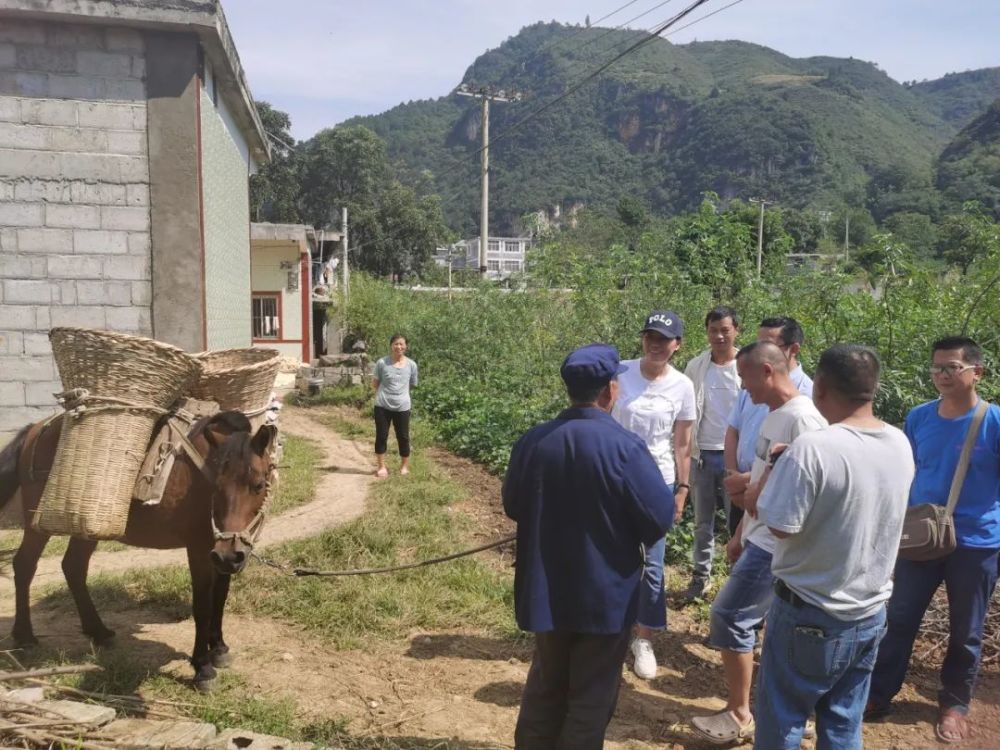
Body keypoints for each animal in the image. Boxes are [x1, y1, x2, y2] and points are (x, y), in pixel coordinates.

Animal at [0, 412, 274, 692]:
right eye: (216, 486)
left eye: (258, 484)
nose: (230, 554)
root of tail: (36, 429)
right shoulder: (199, 551)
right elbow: (202, 606)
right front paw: (202, 667)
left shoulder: (220, 553)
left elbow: (220, 598)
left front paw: (218, 648)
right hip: (39, 525)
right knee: (24, 566)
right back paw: (24, 636)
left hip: (87, 525)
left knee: (73, 567)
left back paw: (98, 631)